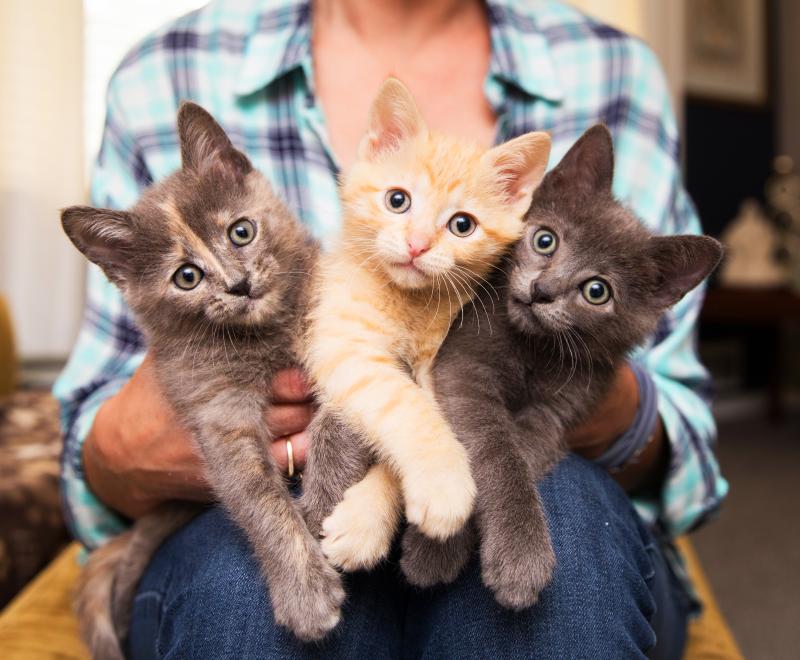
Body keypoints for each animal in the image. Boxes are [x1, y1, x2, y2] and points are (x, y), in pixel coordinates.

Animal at [61, 102, 348, 656]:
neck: (267, 332)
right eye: (187, 277)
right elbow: (256, 496)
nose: (238, 284)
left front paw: (322, 509)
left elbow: (338, 424)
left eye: (241, 232)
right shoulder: (214, 407)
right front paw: (305, 591)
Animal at [300, 78, 552, 572]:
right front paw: (443, 480)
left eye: (462, 225)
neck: (411, 304)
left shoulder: (449, 365)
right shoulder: (346, 344)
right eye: (397, 200)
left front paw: (366, 521)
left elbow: (429, 412)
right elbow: (405, 407)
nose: (417, 245)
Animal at [396, 124, 720, 608]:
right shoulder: (465, 367)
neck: (535, 350)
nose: (542, 290)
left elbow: (521, 456)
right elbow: (496, 451)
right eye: (545, 240)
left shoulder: (564, 407)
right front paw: (445, 550)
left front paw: (491, 552)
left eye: (597, 291)